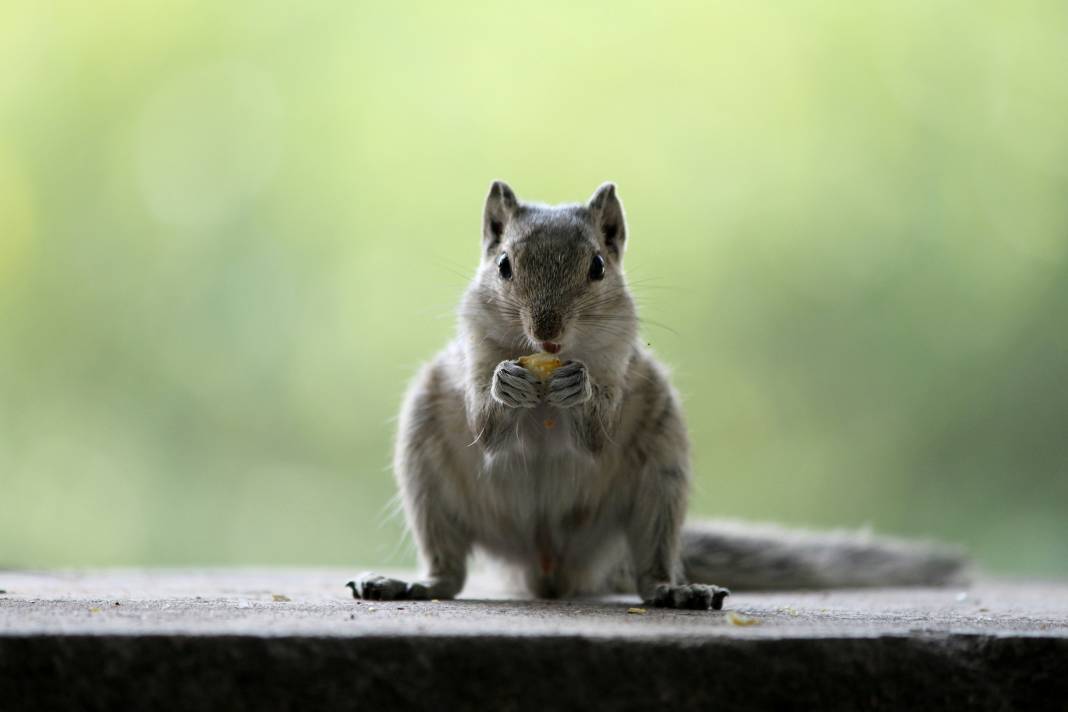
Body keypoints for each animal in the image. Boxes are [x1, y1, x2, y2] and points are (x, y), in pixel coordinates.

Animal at [350, 181, 969, 610]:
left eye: (598, 266)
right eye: (503, 265)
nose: (547, 334)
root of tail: (551, 568)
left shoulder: (621, 363)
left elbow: (598, 431)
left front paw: (582, 390)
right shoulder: (473, 353)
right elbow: (485, 425)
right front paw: (506, 385)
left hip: (659, 482)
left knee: (650, 570)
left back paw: (676, 592)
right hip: (428, 474)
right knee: (449, 574)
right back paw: (409, 584)